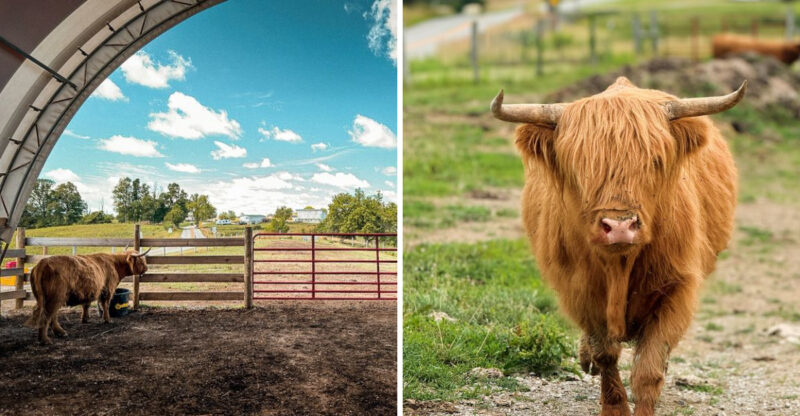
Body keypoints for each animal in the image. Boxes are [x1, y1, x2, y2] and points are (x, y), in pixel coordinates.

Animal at [491, 77, 743, 416]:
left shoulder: (677, 288)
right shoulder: (580, 293)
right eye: (579, 167)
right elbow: (605, 355)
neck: (620, 267)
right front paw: (614, 406)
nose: (620, 226)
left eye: (655, 161)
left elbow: (649, 368)